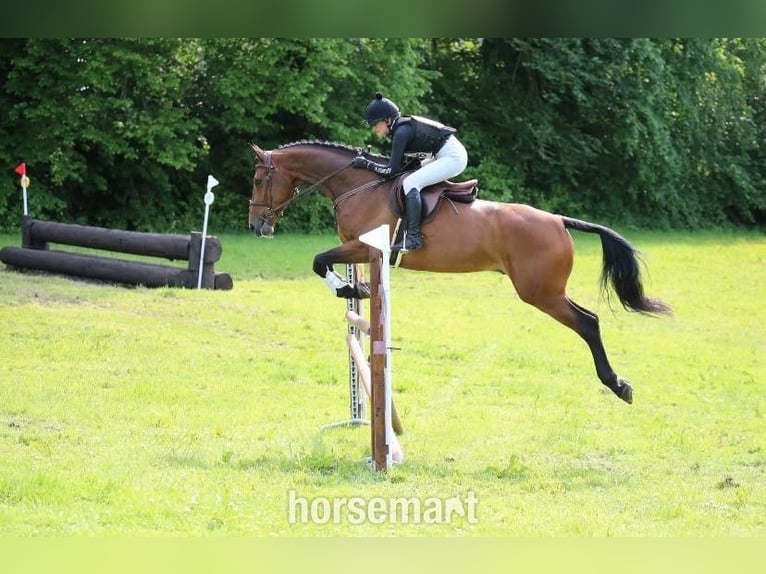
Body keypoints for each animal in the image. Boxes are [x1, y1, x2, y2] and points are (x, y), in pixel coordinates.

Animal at [248, 140, 671, 404]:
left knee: (588, 322)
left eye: (258, 179)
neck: (358, 186)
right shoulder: (361, 251)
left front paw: (346, 290)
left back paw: (617, 385)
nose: (256, 226)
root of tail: (558, 220)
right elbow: (329, 263)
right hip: (545, 290)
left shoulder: (367, 246)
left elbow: (319, 260)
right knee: (588, 320)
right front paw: (357, 289)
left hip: (540, 291)